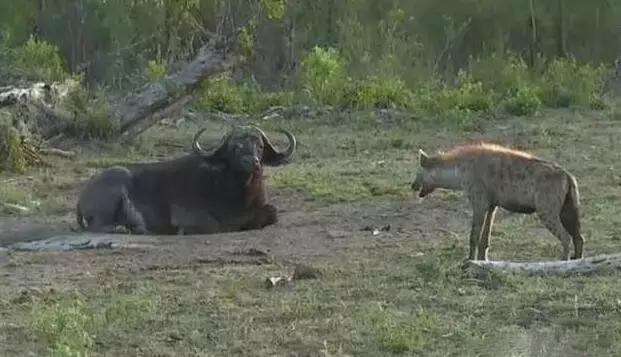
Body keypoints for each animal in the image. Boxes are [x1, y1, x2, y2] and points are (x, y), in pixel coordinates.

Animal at [75, 124, 296, 235]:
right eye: (235, 147)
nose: (252, 162)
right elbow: (214, 225)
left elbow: (272, 213)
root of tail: (83, 195)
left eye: (260, 146)